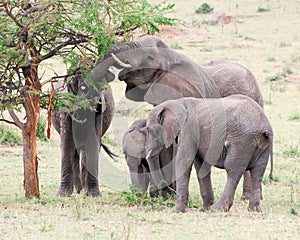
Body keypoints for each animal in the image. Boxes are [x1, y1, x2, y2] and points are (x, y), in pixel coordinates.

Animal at [144, 94, 274, 213]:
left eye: (150, 130)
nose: (166, 193)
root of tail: (265, 127)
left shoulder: (188, 129)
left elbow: (183, 161)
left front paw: (177, 210)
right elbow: (200, 165)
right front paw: (204, 209)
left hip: (242, 141)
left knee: (233, 170)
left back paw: (217, 209)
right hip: (263, 144)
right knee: (257, 172)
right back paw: (254, 210)